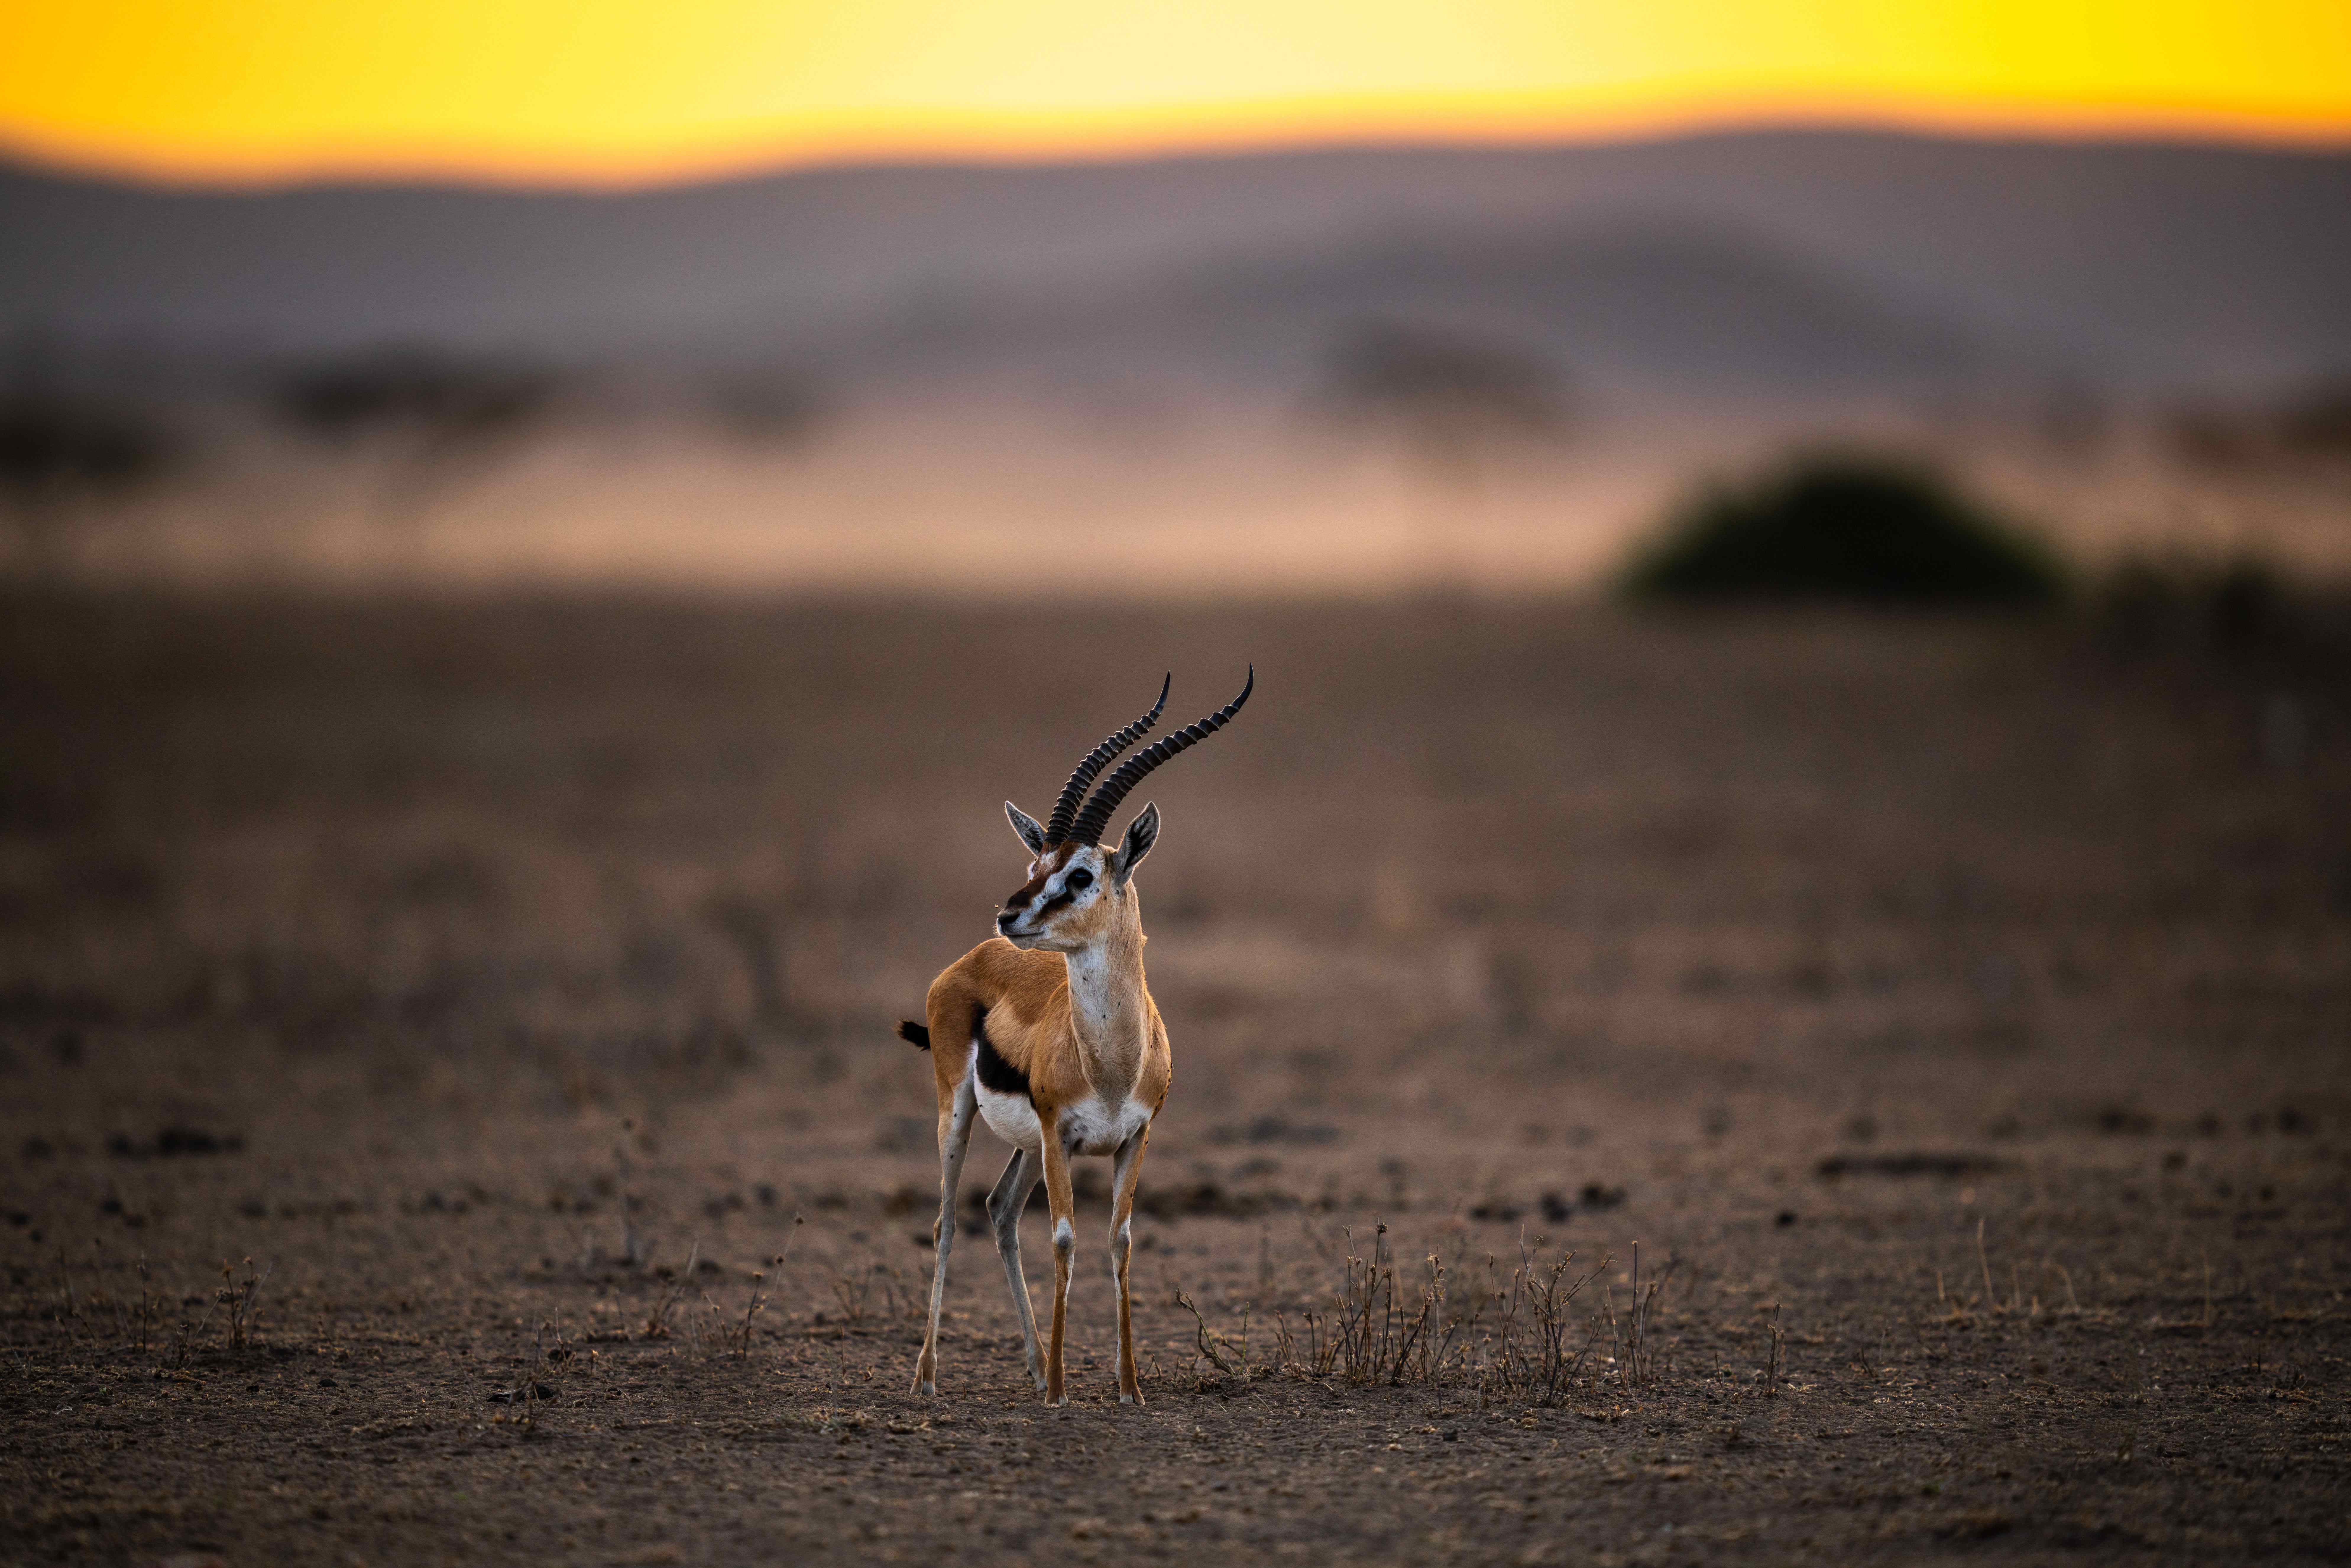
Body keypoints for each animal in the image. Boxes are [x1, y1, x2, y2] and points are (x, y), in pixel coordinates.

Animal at [896, 671, 1252, 1405]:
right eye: (1035, 863)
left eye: (1081, 875)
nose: (1009, 914)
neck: (1112, 1065)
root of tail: (967, 962)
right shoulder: (1061, 1136)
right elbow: (1063, 1239)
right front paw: (1062, 1391)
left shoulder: (1133, 1139)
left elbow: (1119, 1243)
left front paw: (1128, 1389)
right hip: (960, 1113)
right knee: (947, 1221)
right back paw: (929, 1377)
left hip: (1029, 1146)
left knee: (999, 1211)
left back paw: (1032, 1366)